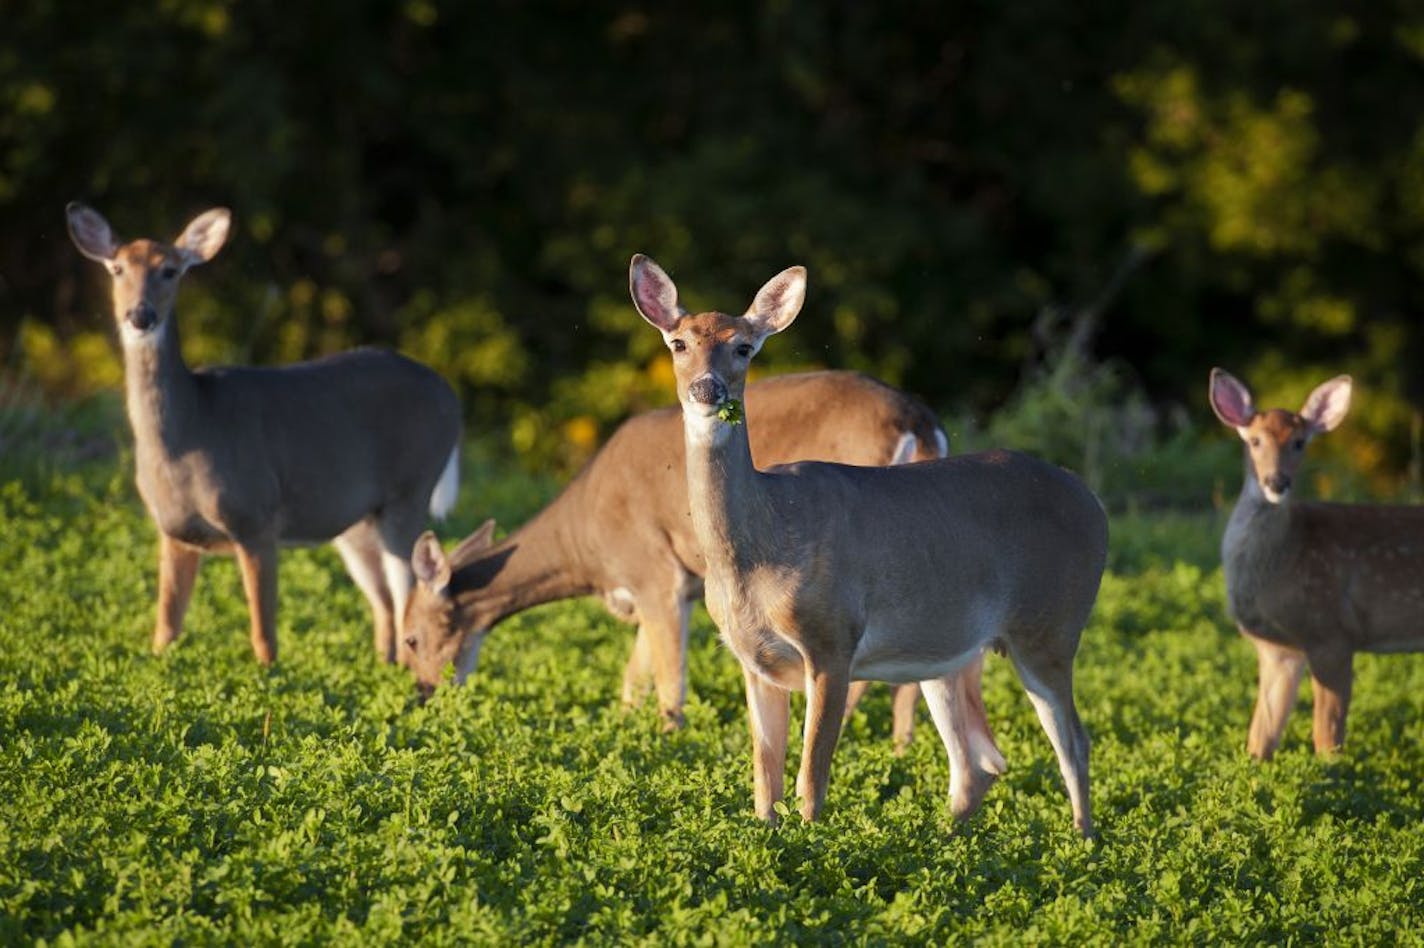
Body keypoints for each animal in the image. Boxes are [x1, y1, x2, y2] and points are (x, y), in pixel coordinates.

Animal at [66, 200, 458, 663]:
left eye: (170, 270)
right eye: (117, 268)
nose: (140, 315)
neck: (190, 431)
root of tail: (450, 395)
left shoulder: (256, 516)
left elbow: (263, 631)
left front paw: (269, 674)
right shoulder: (174, 530)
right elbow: (166, 625)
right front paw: (158, 666)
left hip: (409, 489)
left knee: (409, 591)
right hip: (356, 520)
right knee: (383, 600)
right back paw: (383, 665)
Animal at [401, 364, 945, 734]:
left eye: (409, 639)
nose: (422, 696)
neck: (586, 545)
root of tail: (916, 419)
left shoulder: (652, 571)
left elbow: (668, 682)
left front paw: (669, 741)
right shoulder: (670, 586)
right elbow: (633, 676)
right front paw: (626, 730)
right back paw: (901, 748)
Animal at [629, 253, 1105, 836]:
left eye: (743, 347)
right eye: (678, 343)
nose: (707, 389)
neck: (763, 544)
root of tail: (1092, 503)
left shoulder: (832, 638)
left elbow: (811, 778)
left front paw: (812, 842)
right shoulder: (753, 659)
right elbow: (764, 779)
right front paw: (768, 837)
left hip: (1051, 625)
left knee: (1073, 742)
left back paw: (1083, 841)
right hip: (945, 649)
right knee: (979, 760)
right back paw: (948, 837)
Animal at [1207, 364, 1424, 757]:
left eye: (1299, 442)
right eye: (1255, 441)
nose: (1277, 482)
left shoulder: (1331, 631)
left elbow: (1327, 737)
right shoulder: (1278, 649)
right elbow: (1260, 736)